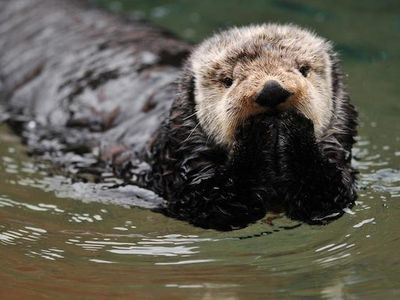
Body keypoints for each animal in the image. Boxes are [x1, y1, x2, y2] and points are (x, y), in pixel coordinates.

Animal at [143, 24, 356, 230]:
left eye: (303, 69)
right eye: (227, 80)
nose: (271, 90)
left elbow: (328, 195)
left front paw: (293, 125)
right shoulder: (184, 171)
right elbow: (213, 203)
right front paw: (257, 131)